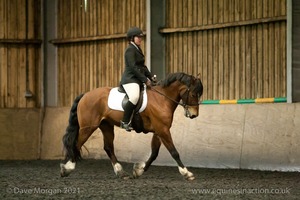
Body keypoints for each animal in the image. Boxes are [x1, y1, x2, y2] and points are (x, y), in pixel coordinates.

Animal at [59, 72, 203, 180]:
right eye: (193, 94)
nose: (194, 115)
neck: (162, 99)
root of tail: (85, 95)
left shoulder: (159, 131)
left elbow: (154, 153)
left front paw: (139, 170)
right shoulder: (163, 130)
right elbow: (174, 152)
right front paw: (187, 173)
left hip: (106, 125)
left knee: (108, 147)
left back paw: (121, 173)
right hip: (88, 127)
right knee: (76, 144)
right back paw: (67, 168)